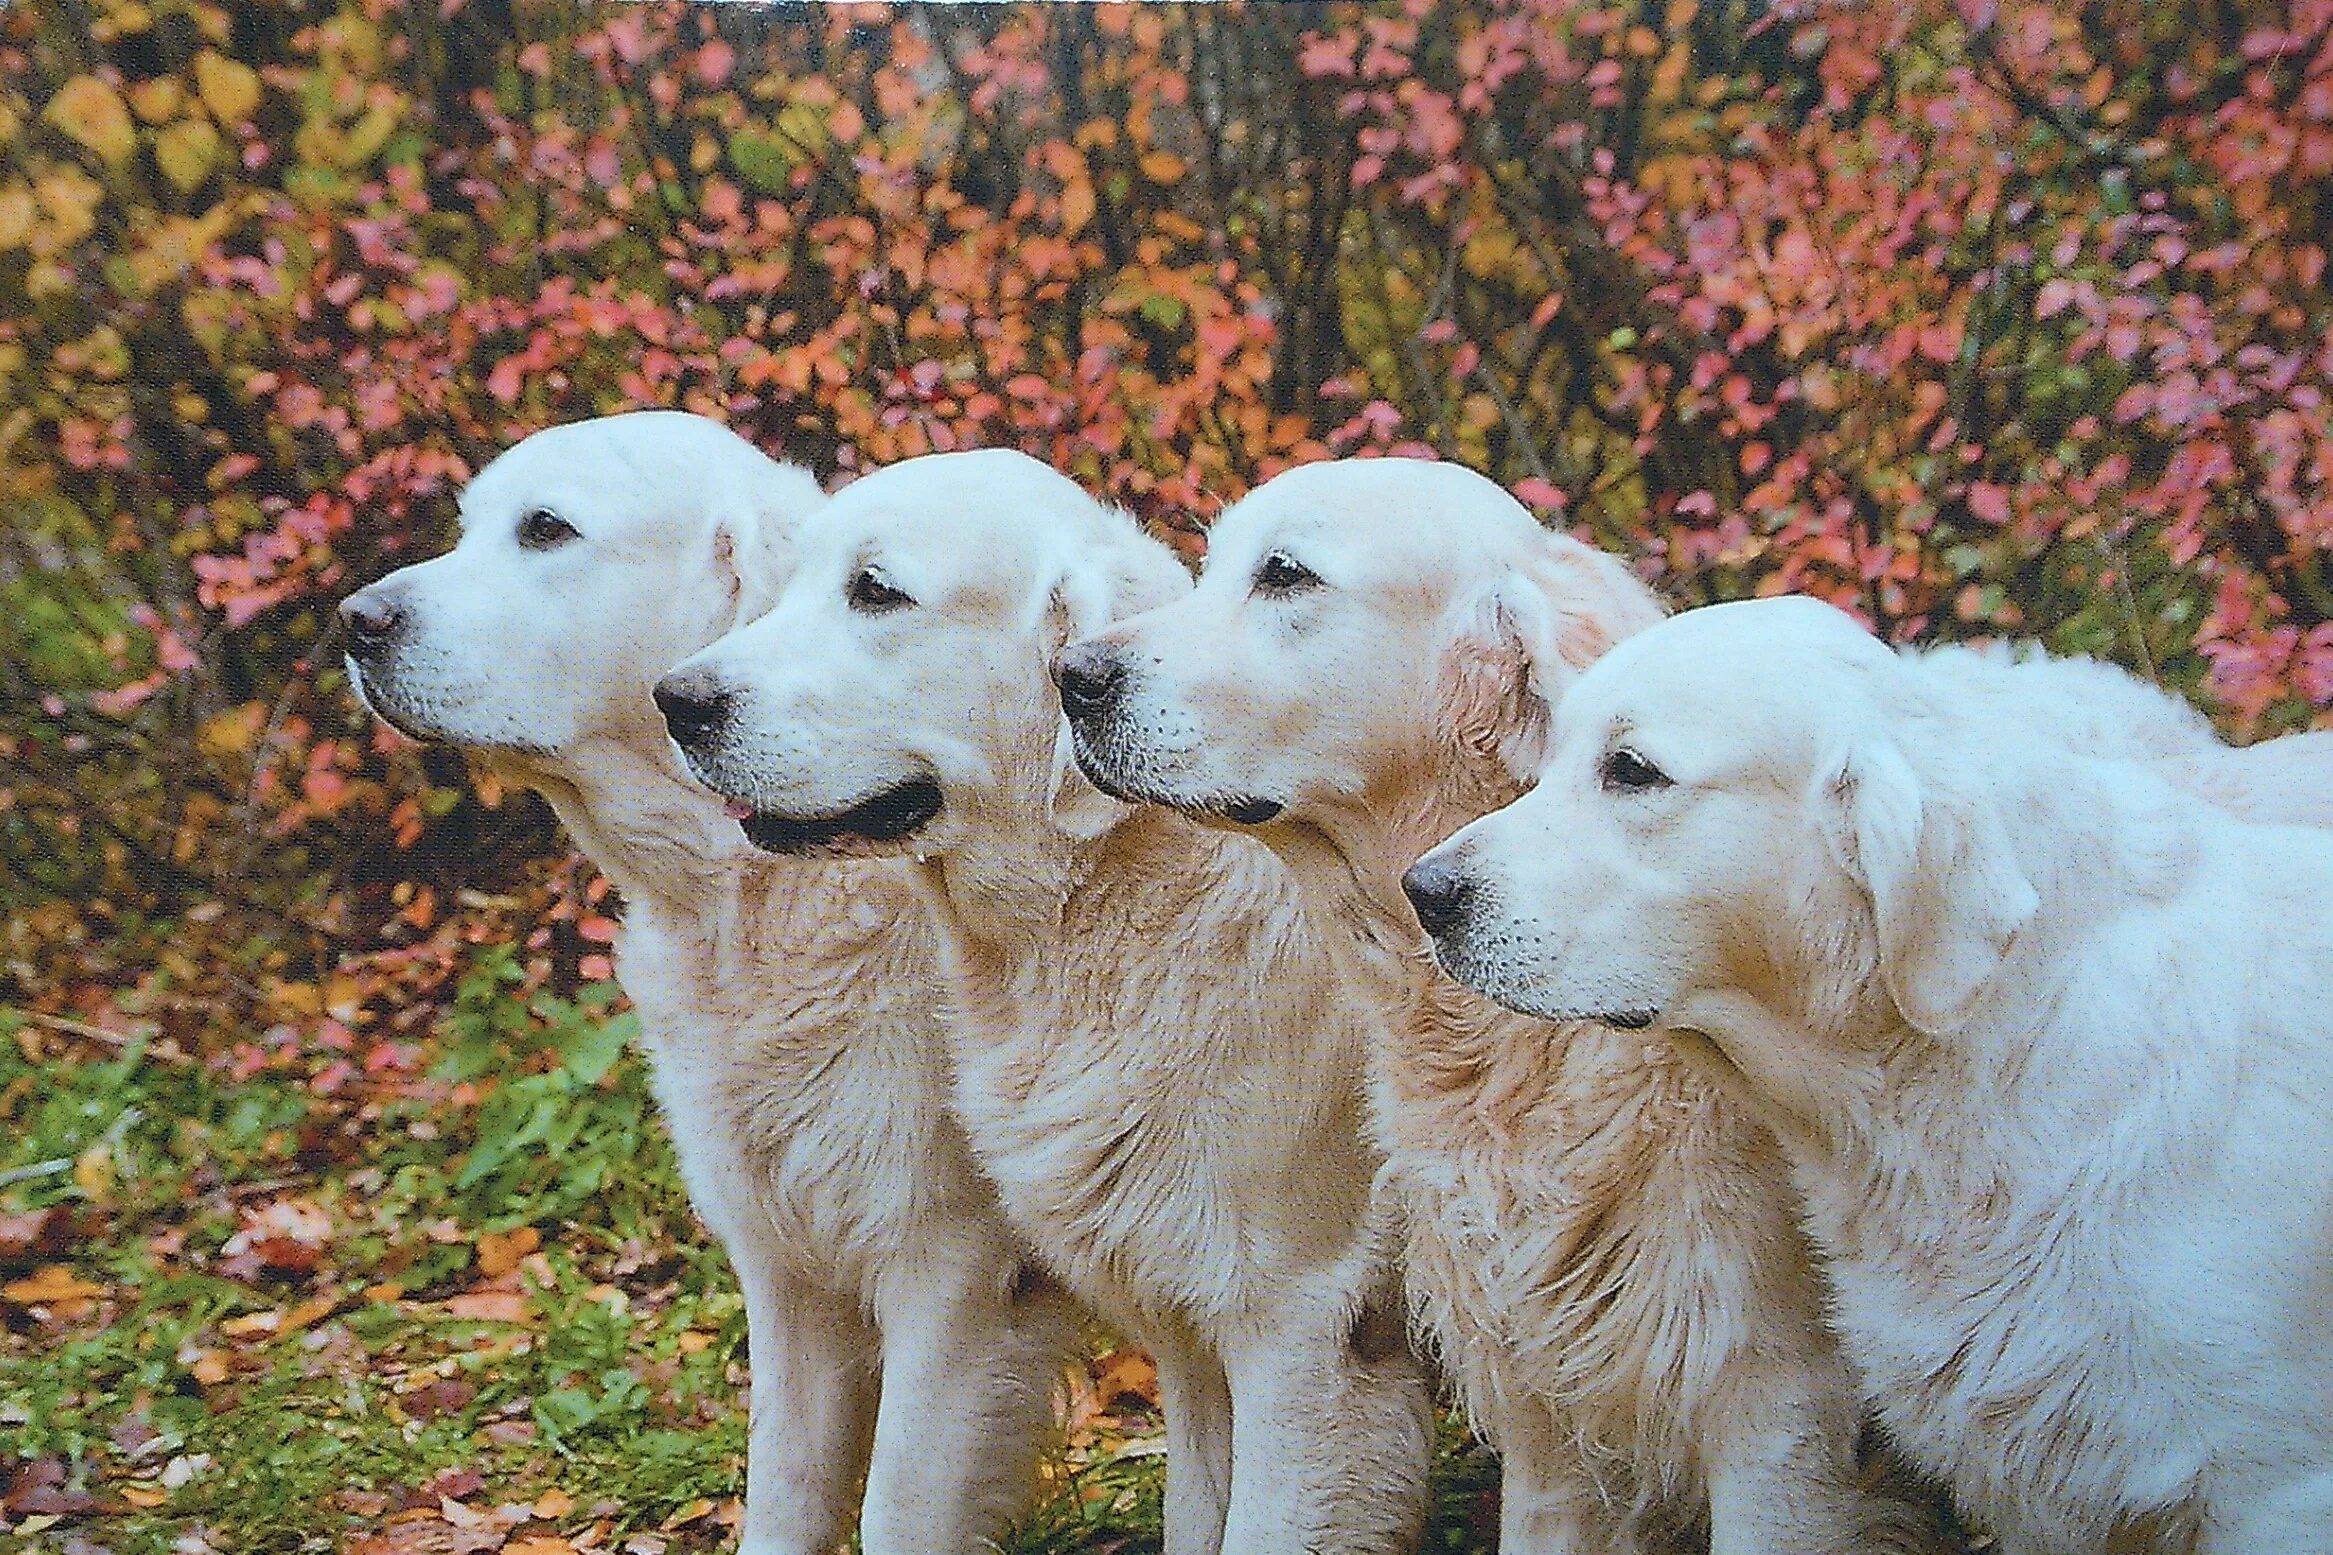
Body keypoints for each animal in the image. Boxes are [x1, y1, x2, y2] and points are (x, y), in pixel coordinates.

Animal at [342, 412, 1073, 1555]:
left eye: (546, 529)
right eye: (467, 526)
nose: (353, 620)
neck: (749, 898)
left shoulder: (953, 1278)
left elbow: (896, 1504)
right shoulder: (786, 1272)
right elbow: (784, 1486)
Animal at [1059, 459, 1950, 1555]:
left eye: (1284, 574)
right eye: (1211, 562)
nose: (1068, 675)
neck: (1515, 1048)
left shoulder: (1781, 1416)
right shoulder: (1547, 1422)